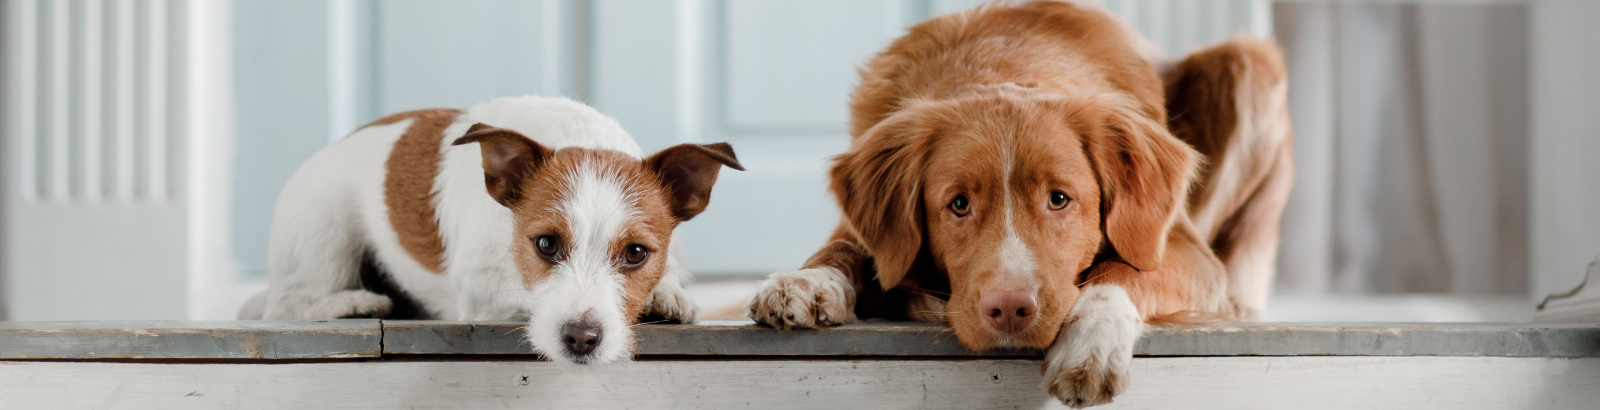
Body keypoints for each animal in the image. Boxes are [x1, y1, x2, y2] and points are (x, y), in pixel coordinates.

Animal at [241, 96, 742, 365]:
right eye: (545, 244)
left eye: (636, 253)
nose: (581, 339)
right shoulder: (481, 288)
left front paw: (667, 294)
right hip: (324, 233)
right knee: (289, 300)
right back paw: (357, 302)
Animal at [752, 1, 1299, 406]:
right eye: (958, 205)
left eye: (1059, 199)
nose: (1010, 309)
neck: (1003, 67)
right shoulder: (865, 230)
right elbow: (843, 247)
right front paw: (806, 281)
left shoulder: (1185, 250)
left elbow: (1123, 270)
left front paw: (1091, 342)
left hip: (1250, 64)